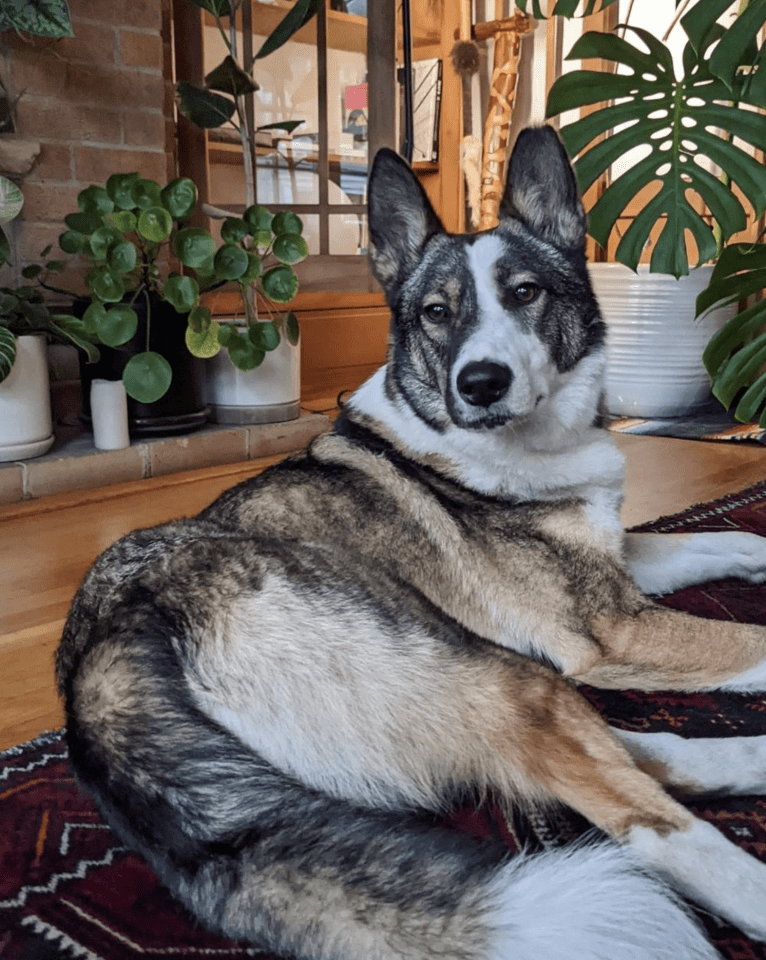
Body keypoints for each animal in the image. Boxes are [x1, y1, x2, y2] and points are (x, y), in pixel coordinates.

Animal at [55, 124, 766, 956]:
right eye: (433, 312)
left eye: (525, 293)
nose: (480, 384)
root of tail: (98, 674)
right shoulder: (611, 629)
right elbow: (749, 637)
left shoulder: (613, 570)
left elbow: (721, 538)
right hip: (501, 676)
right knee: (645, 816)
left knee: (630, 755)